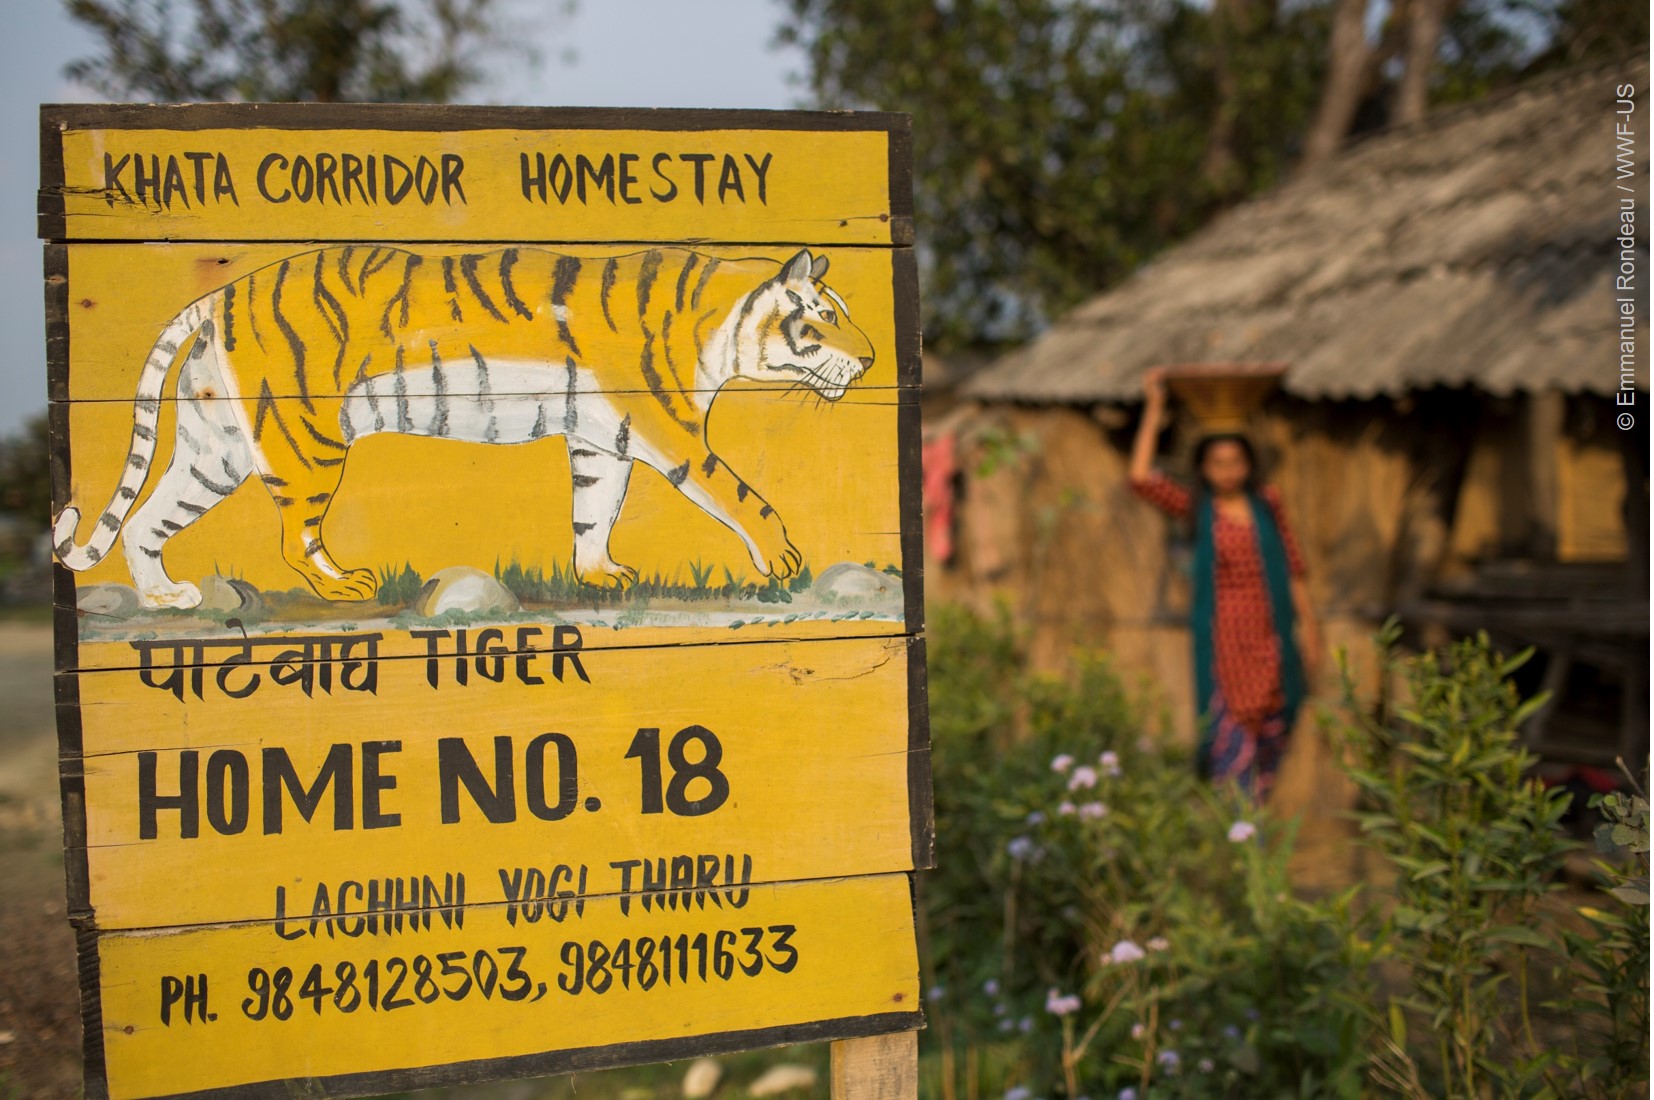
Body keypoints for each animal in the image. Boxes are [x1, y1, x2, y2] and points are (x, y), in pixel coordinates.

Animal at [51, 244, 879, 608]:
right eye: (825, 319)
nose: (872, 358)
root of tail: (216, 296)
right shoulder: (666, 427)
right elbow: (735, 491)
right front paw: (783, 558)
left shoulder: (600, 438)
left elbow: (593, 509)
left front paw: (598, 575)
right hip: (305, 437)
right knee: (292, 535)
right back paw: (343, 585)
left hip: (213, 451)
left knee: (144, 522)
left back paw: (167, 598)